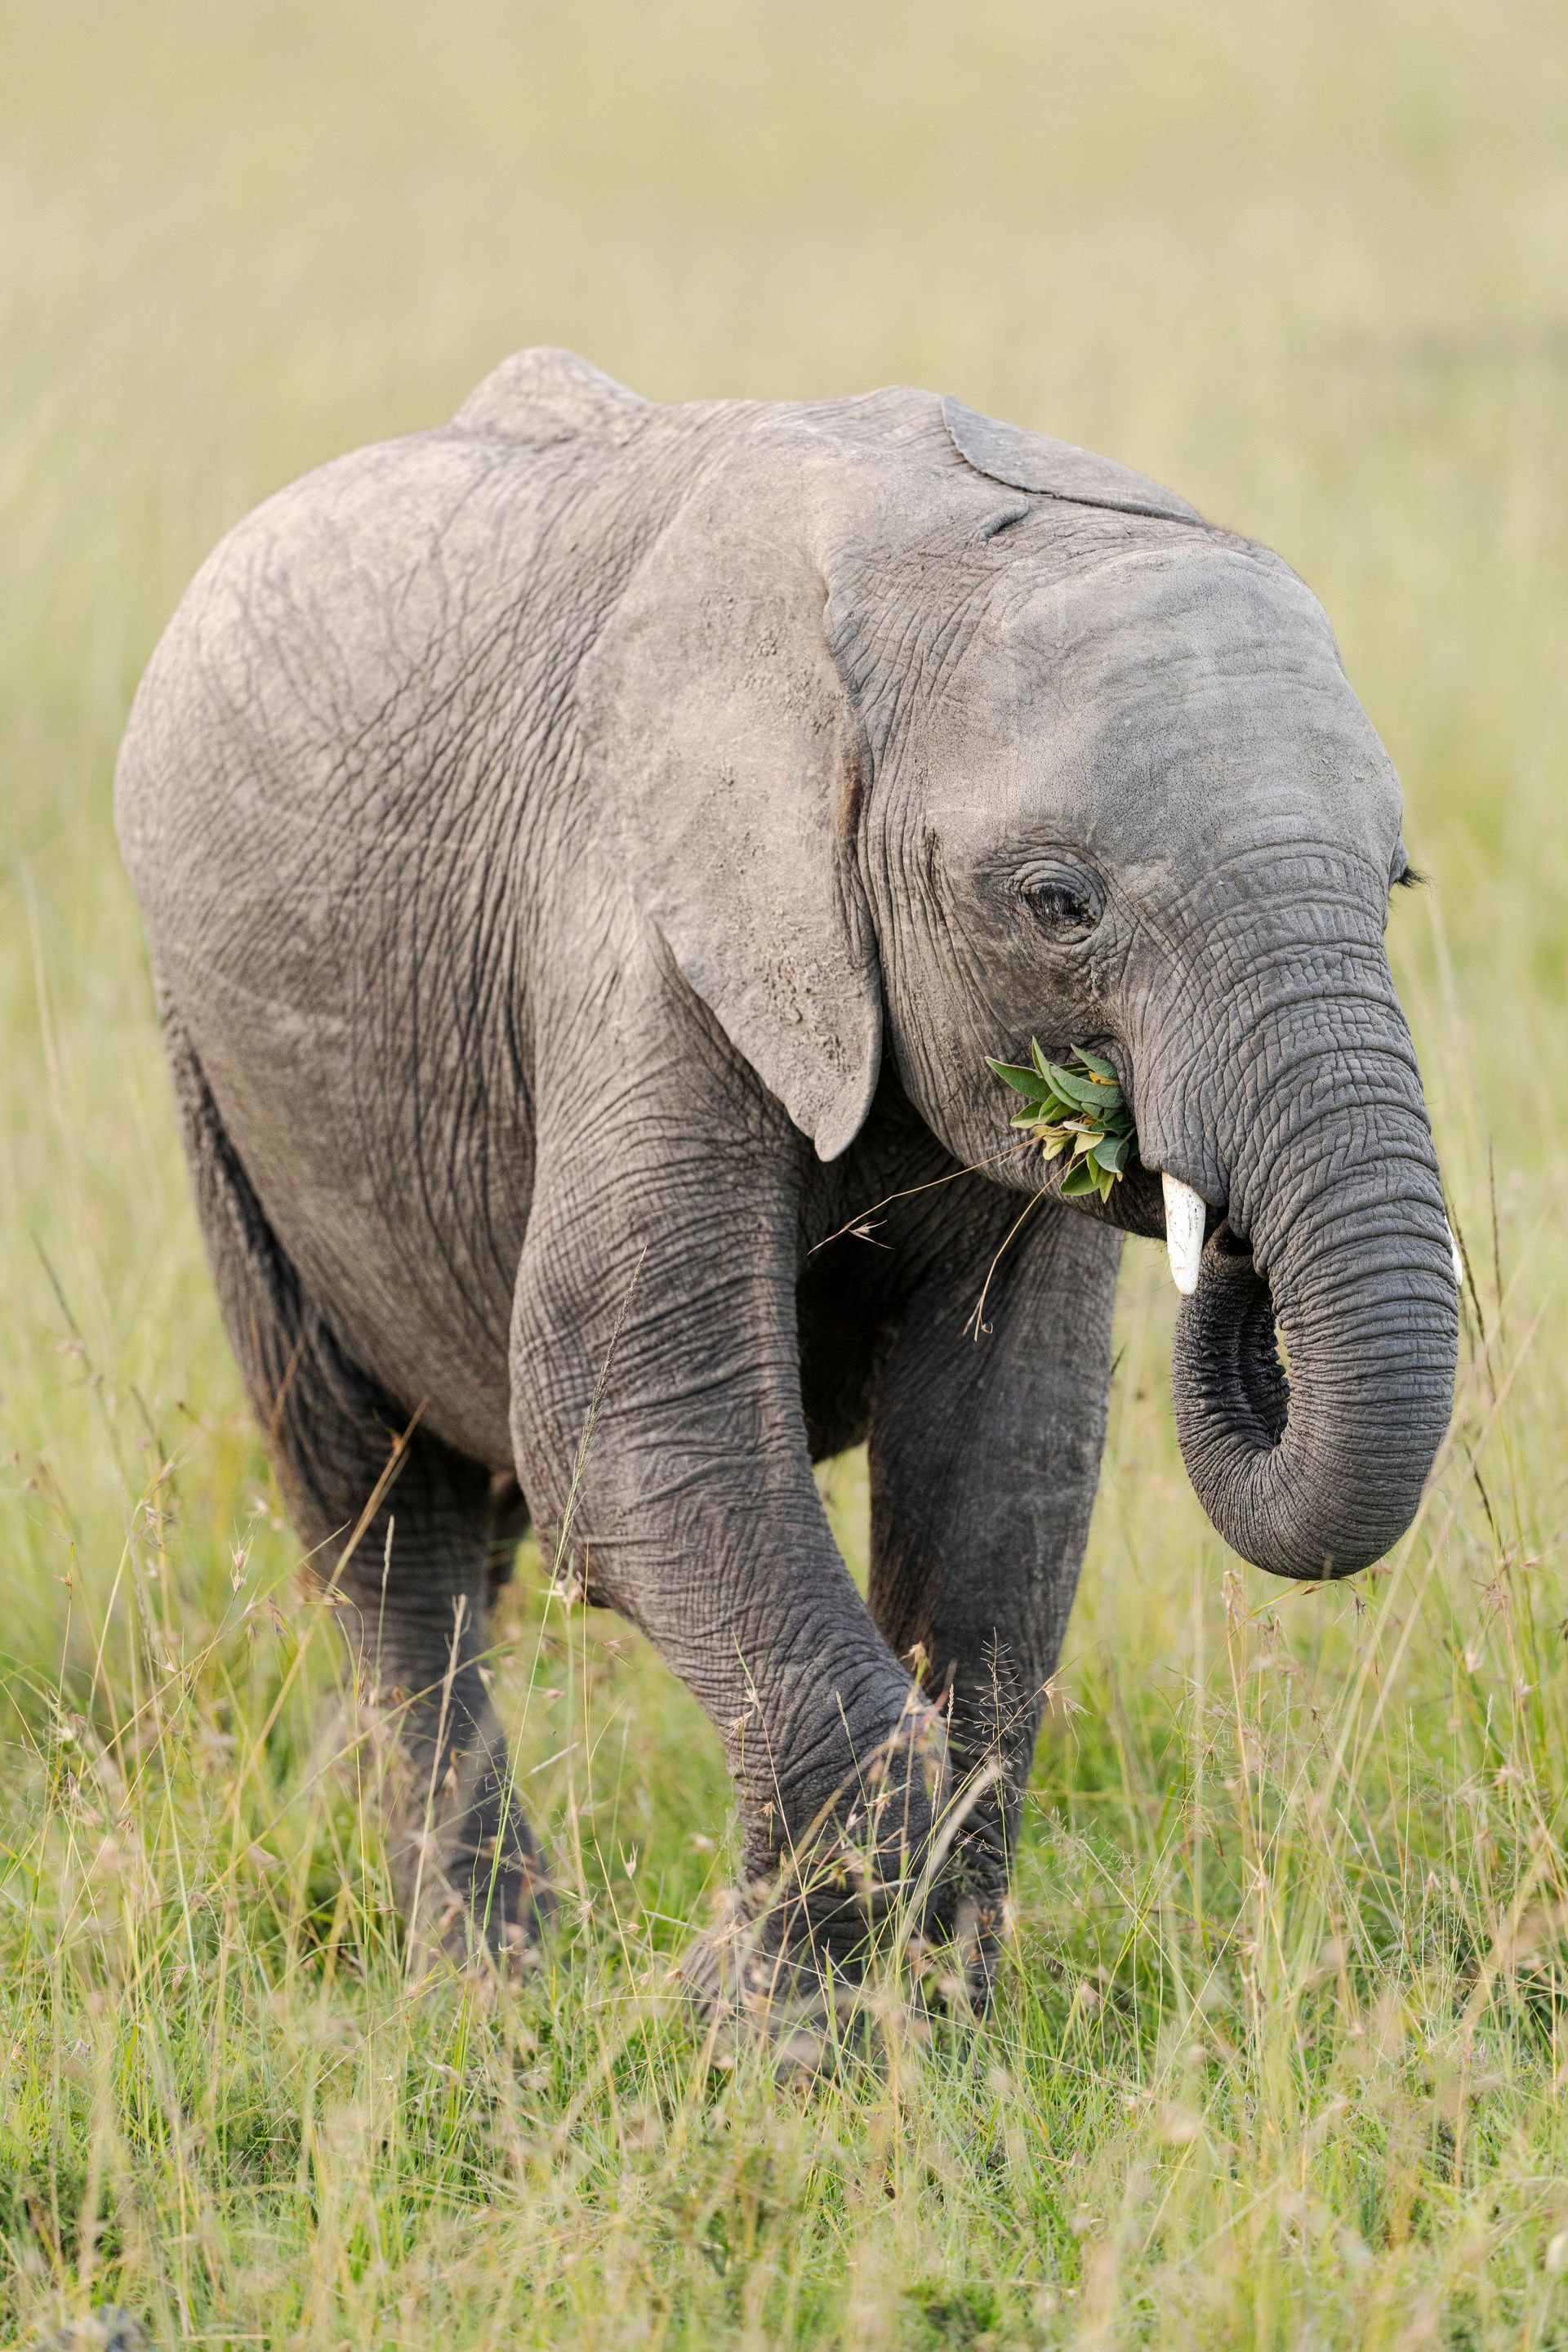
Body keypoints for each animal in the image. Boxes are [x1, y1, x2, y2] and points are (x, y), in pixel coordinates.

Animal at [115, 347, 1458, 2015]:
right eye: (1058, 904)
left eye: (1395, 882)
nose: (1215, 1225)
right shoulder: (634, 915)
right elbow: (629, 1422)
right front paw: (752, 2023)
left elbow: (1007, 1470)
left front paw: (923, 2022)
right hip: (214, 1067)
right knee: (374, 1510)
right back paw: (494, 1982)